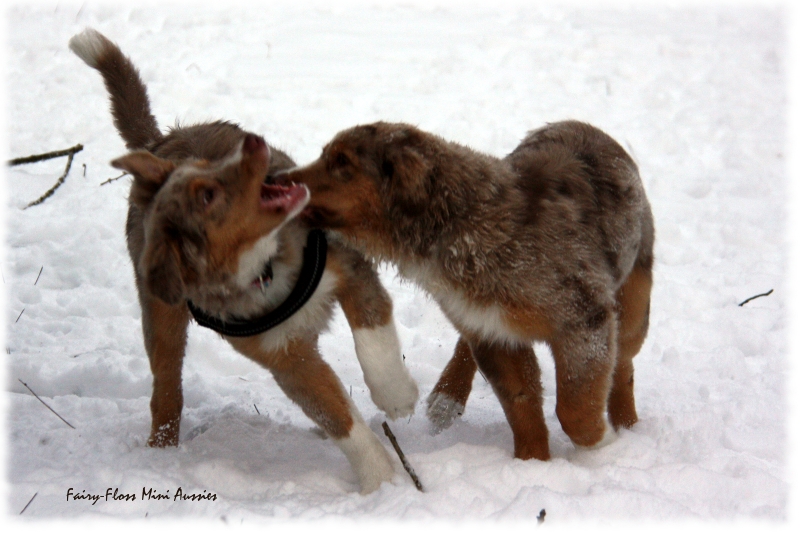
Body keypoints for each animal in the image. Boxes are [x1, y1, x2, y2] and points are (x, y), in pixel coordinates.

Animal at [69, 29, 418, 492]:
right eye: (208, 195)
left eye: (209, 167)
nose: (254, 143)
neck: (264, 266)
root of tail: (159, 144)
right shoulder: (285, 357)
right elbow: (337, 414)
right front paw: (381, 480)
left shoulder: (349, 267)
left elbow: (373, 341)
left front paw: (397, 398)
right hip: (161, 318)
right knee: (166, 390)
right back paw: (160, 455)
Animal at [278, 118, 652, 460]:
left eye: (342, 162)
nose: (277, 179)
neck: (463, 226)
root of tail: (583, 124)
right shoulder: (496, 336)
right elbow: (522, 408)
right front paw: (531, 464)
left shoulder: (584, 318)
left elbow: (575, 408)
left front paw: (604, 446)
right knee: (466, 345)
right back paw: (447, 396)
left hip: (633, 300)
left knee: (624, 361)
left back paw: (627, 424)